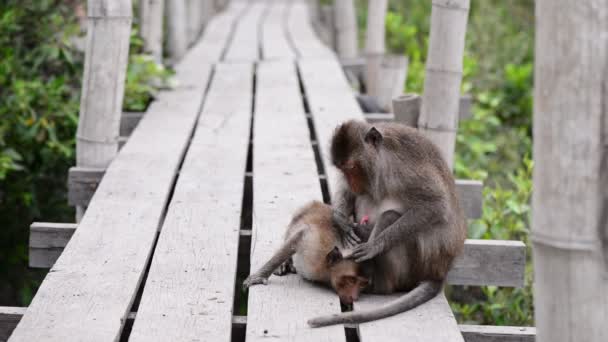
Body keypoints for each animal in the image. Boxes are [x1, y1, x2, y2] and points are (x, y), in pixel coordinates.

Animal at [308, 119, 466, 326]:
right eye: (342, 170)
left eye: (352, 168)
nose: (353, 183)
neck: (383, 162)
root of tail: (440, 272)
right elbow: (349, 193)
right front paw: (341, 220)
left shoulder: (405, 170)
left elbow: (436, 206)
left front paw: (375, 245)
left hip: (411, 270)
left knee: (390, 216)